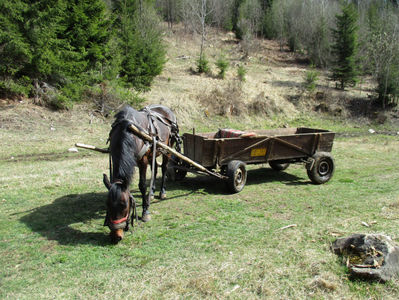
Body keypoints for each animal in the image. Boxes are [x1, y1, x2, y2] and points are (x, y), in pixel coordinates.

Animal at [102, 104, 182, 243]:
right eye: (108, 204)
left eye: (125, 205)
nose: (116, 237)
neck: (129, 133)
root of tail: (165, 108)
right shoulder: (114, 157)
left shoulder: (142, 161)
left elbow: (142, 185)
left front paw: (145, 212)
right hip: (154, 150)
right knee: (155, 169)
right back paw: (152, 193)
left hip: (167, 148)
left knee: (164, 168)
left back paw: (162, 192)